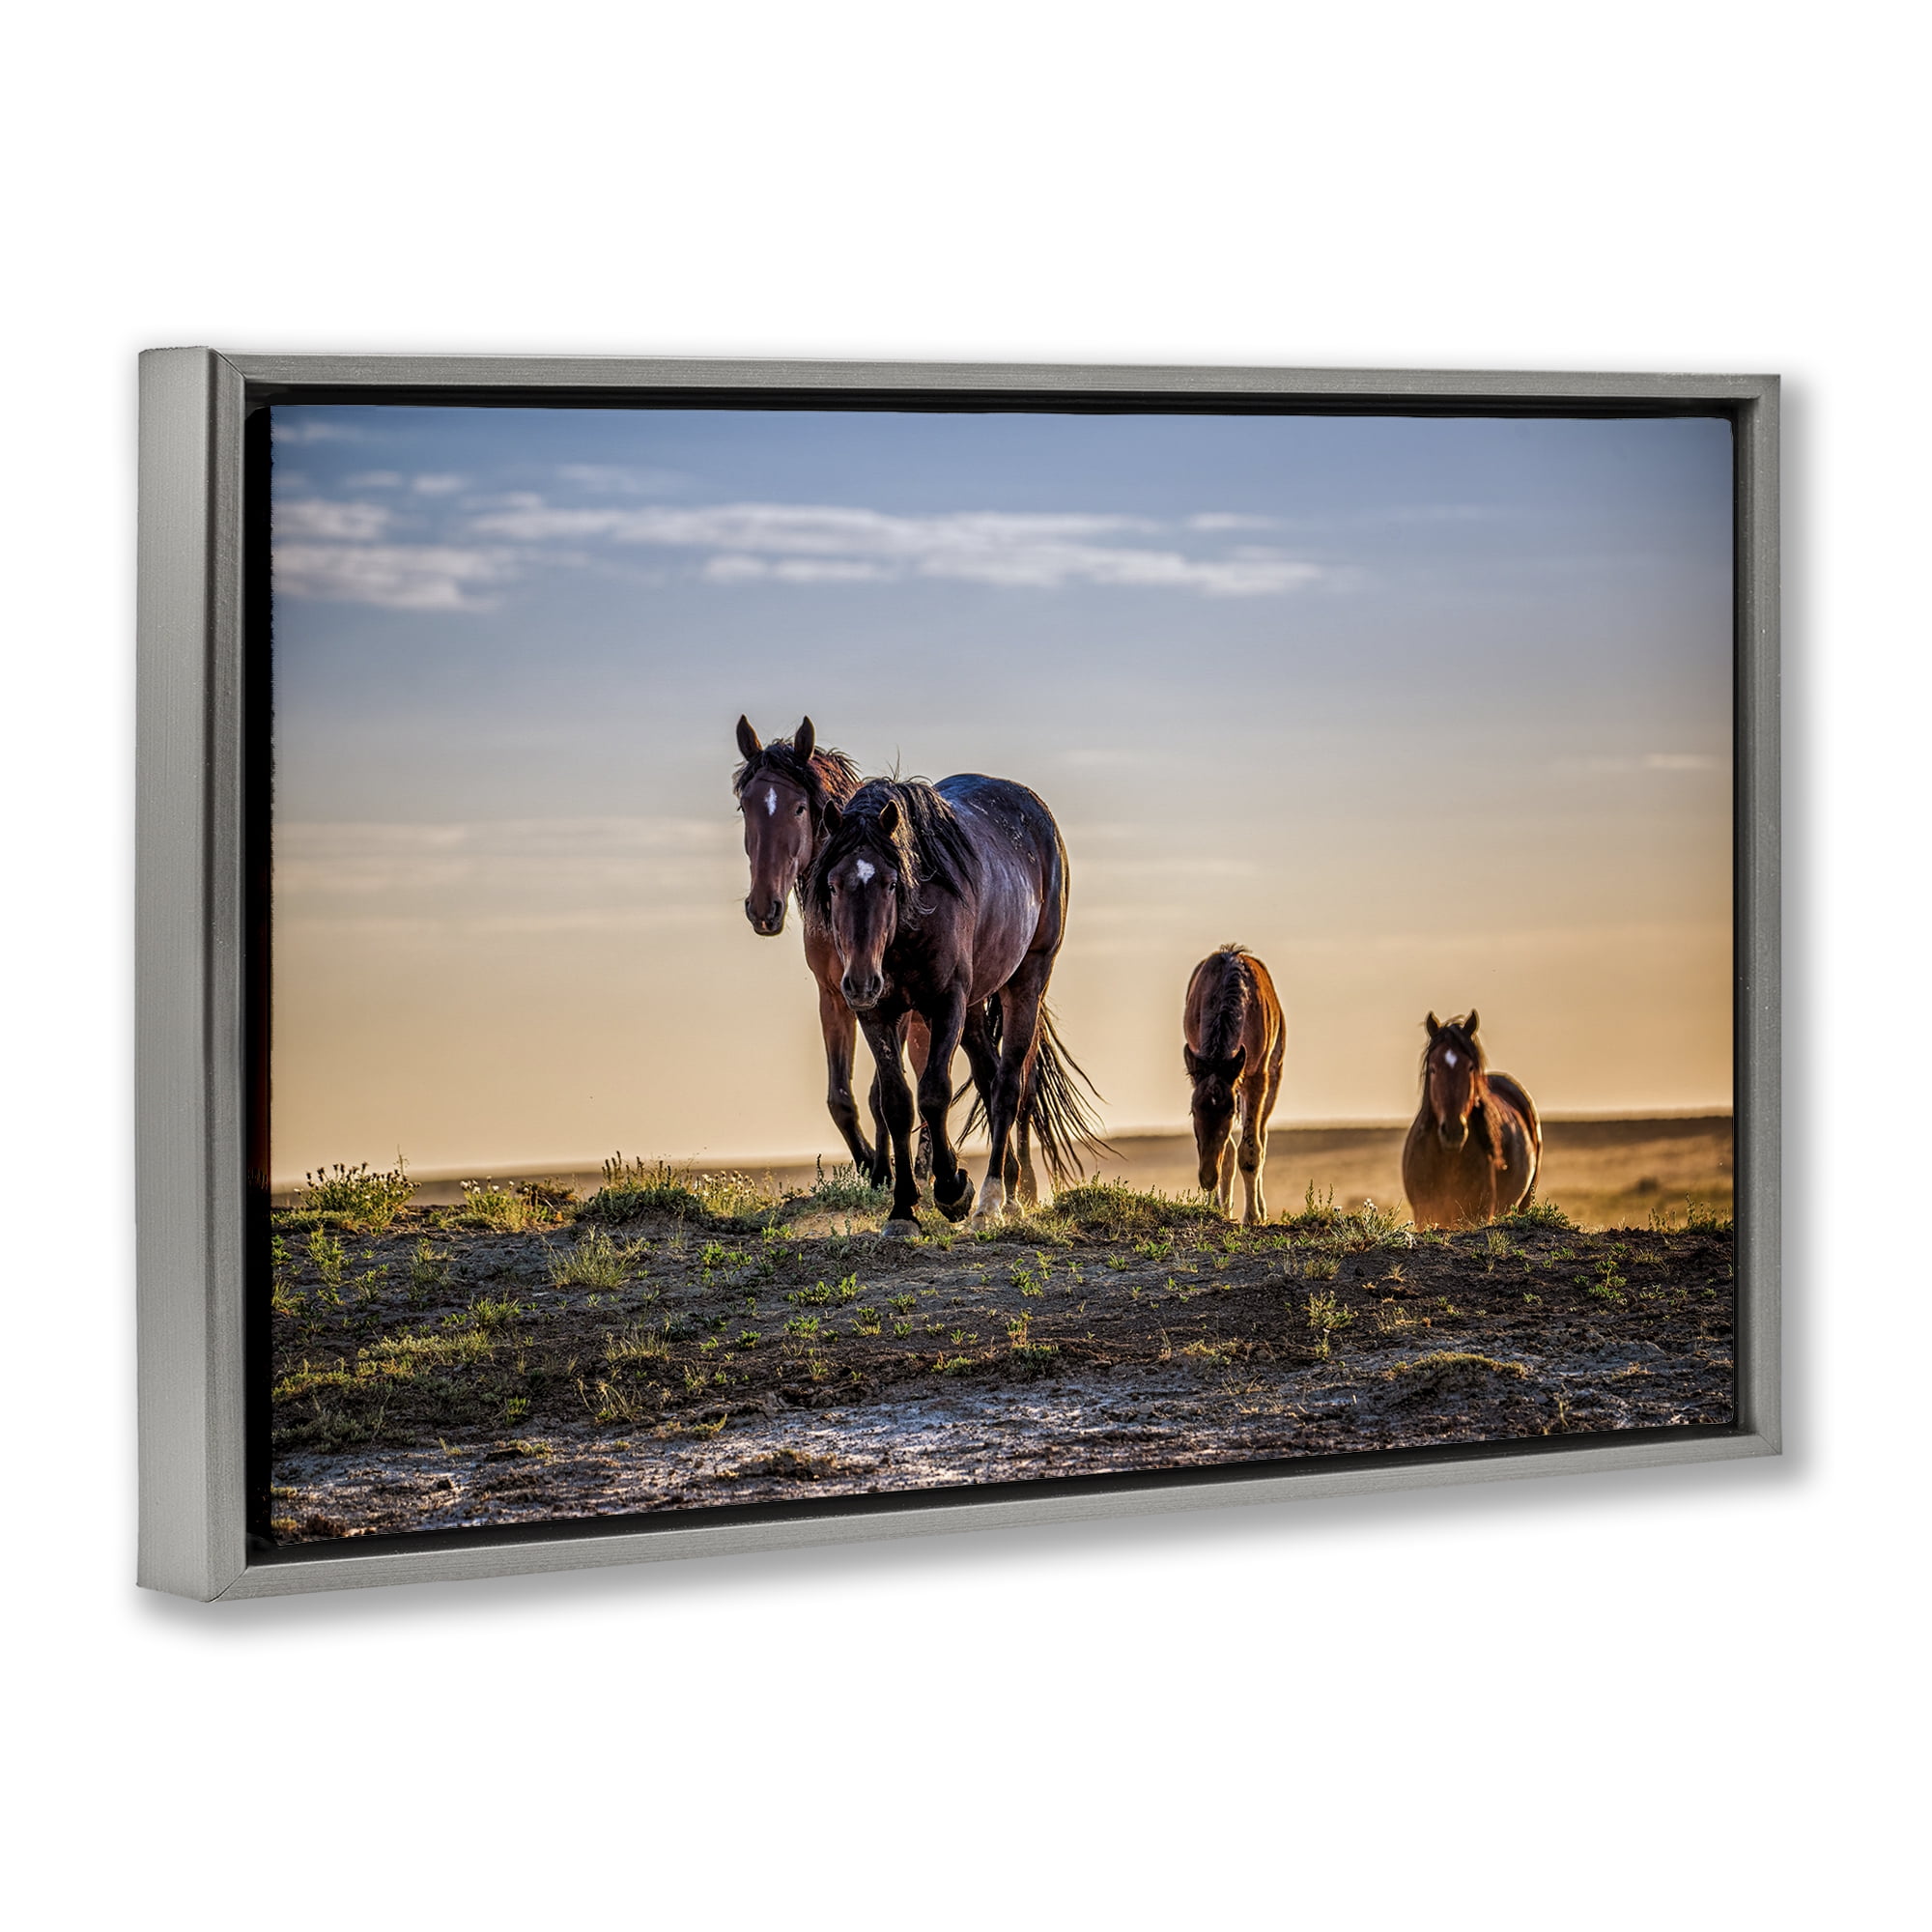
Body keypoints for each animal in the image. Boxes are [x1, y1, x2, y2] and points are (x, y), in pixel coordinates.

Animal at [806, 774, 1107, 1235]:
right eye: (834, 885)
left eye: (891, 883)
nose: (859, 982)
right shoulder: (878, 1012)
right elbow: (896, 1102)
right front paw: (903, 1209)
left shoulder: (946, 1003)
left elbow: (934, 1093)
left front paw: (952, 1190)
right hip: (976, 1006)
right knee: (988, 1077)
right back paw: (1010, 1191)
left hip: (1027, 980)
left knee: (1007, 1086)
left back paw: (991, 1200)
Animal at [1182, 944, 1286, 1225]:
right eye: (1193, 1111)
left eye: (1229, 1112)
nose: (1207, 1177)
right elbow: (1228, 1151)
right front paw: (1218, 1208)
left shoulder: (1257, 1077)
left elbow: (1251, 1151)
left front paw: (1252, 1216)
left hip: (1274, 1076)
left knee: (1262, 1137)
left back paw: (1261, 1210)